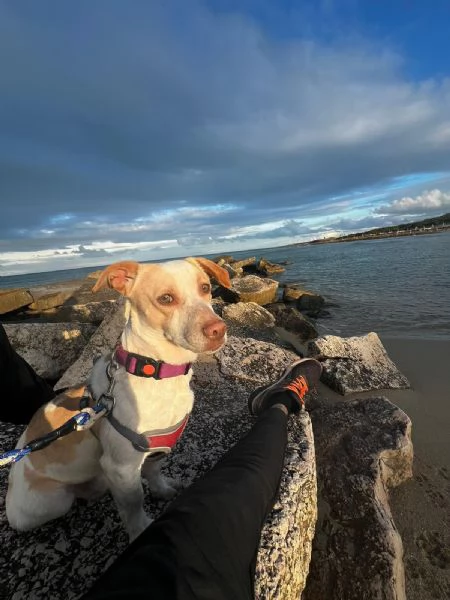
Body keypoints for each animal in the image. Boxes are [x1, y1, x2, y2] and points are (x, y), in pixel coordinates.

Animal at [6, 255, 232, 540]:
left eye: (205, 287)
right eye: (166, 299)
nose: (218, 329)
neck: (156, 374)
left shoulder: (155, 449)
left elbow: (154, 473)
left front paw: (162, 490)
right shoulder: (121, 468)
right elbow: (133, 504)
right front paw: (140, 531)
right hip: (53, 502)